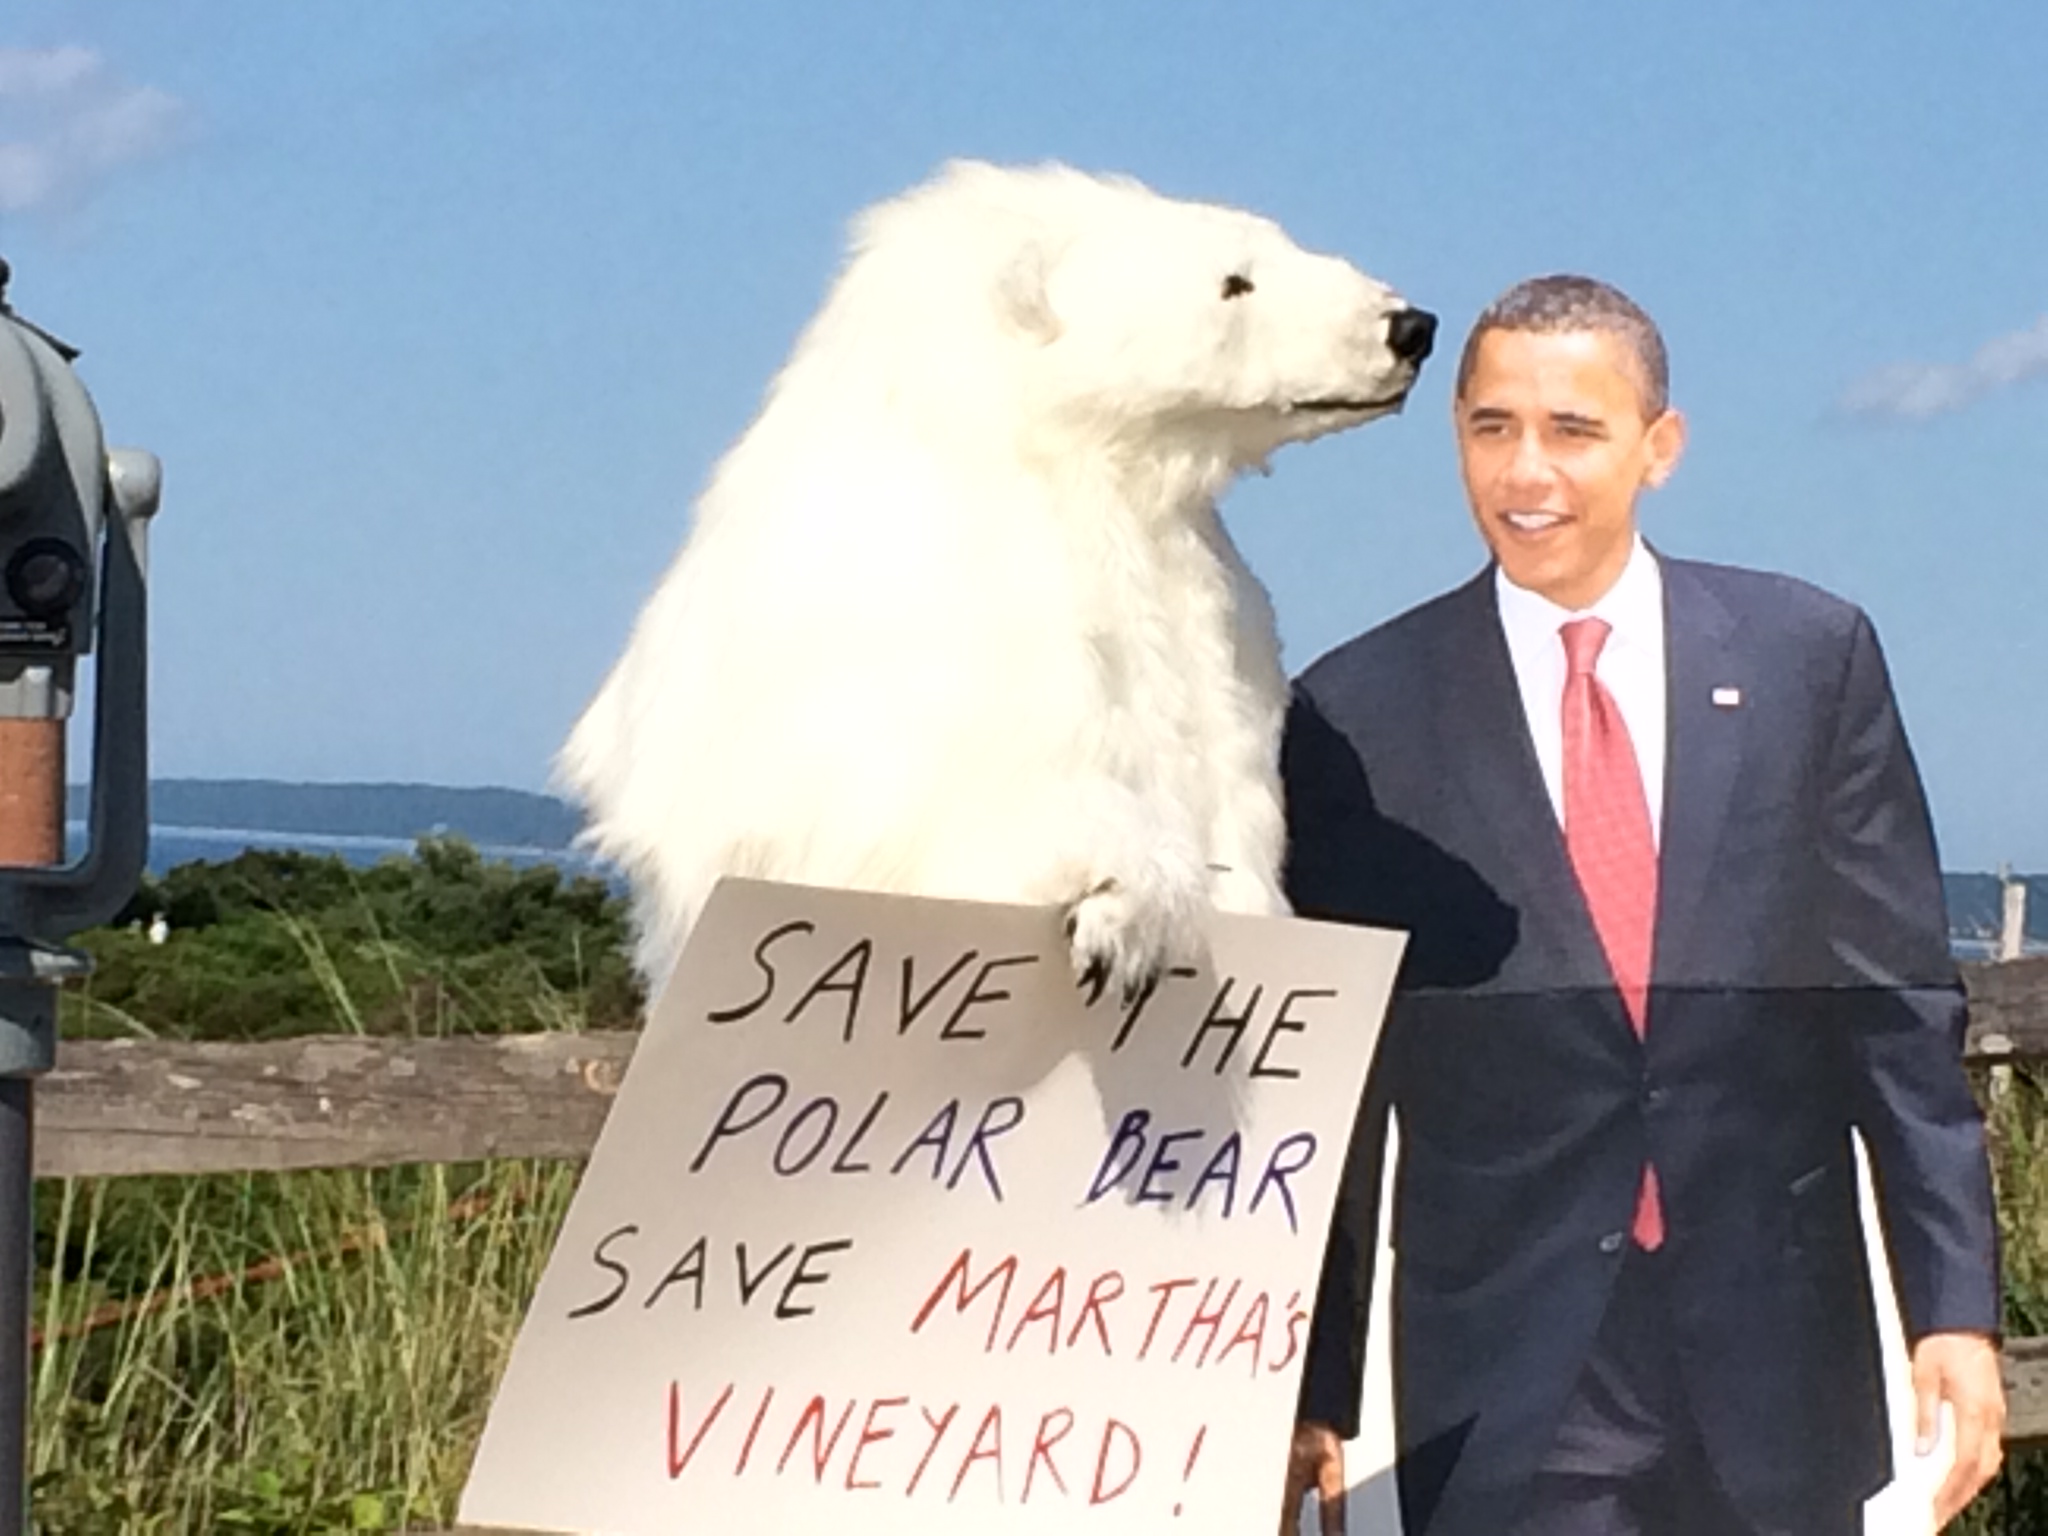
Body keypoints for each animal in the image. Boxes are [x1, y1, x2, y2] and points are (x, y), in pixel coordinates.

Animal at [552, 159, 1433, 999]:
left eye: (1283, 246)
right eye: (1235, 280)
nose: (1411, 326)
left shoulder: (1215, 625)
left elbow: (1227, 770)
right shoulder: (944, 607)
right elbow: (1006, 782)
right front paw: (1122, 917)